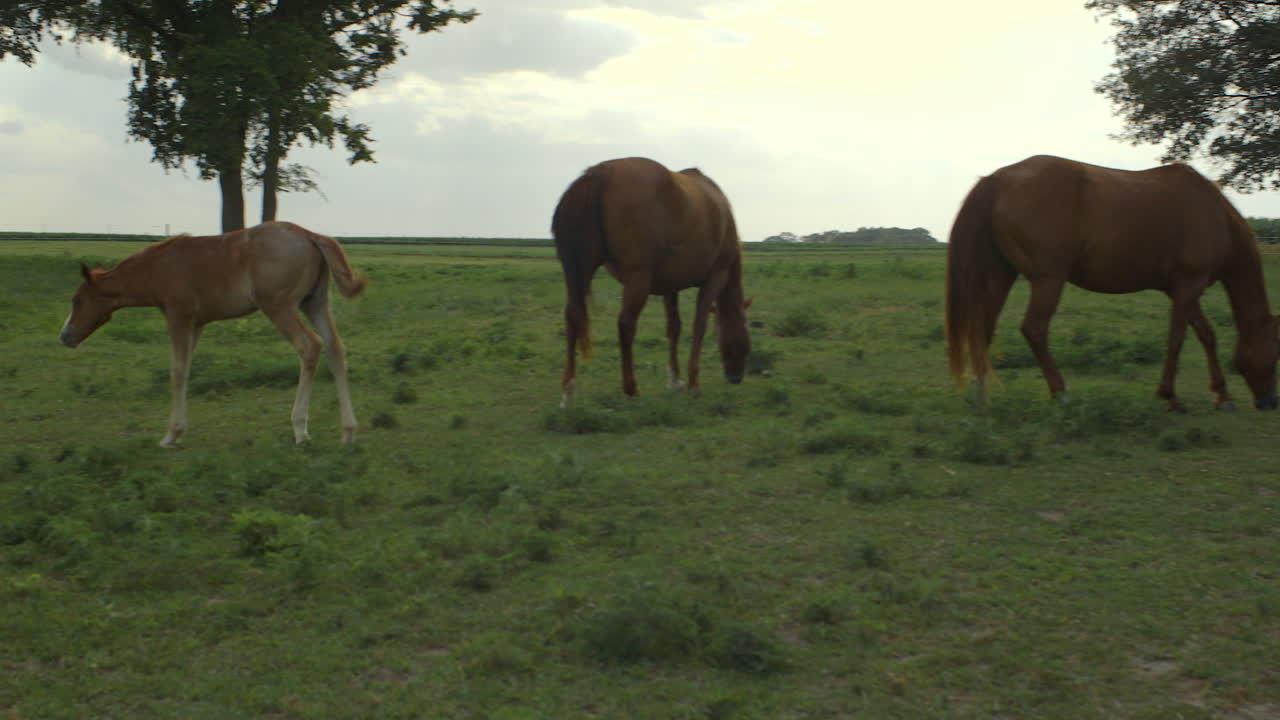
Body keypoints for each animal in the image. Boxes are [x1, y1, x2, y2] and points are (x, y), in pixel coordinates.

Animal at [60, 220, 367, 447]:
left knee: (310, 346)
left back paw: (300, 429)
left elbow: (177, 371)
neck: (158, 269)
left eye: (77, 301)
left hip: (279, 306)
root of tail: (310, 235)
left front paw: (171, 434)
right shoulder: (197, 324)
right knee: (335, 348)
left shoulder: (179, 317)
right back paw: (349, 431)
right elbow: (186, 369)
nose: (65, 336)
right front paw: (178, 430)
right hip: (314, 303)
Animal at [551, 157, 752, 405]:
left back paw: (568, 391)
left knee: (572, 318)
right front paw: (693, 383)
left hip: (579, 273)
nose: (736, 378)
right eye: (745, 344)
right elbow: (699, 325)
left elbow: (674, 327)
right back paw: (631, 388)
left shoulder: (671, 286)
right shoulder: (716, 276)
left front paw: (675, 380)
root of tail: (600, 173)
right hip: (638, 279)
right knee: (626, 324)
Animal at [946, 154, 1279, 411]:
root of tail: (998, 180)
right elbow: (1177, 338)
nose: (1269, 402)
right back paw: (1061, 394)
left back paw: (982, 397)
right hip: (1048, 280)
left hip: (1001, 275)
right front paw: (1170, 396)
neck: (1214, 215)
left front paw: (1222, 395)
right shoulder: (1189, 285)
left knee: (983, 328)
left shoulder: (1182, 290)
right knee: (1034, 330)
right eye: (1276, 353)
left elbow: (1206, 335)